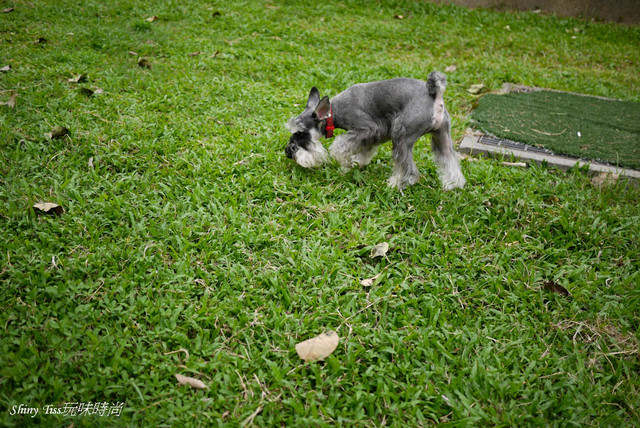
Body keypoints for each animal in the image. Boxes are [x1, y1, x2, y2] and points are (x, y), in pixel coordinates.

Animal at [284, 72, 464, 191]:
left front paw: (344, 162)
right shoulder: (373, 135)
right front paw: (357, 162)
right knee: (448, 158)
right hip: (442, 135)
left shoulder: (369, 129)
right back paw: (453, 184)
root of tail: (434, 95)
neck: (333, 112)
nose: (288, 152)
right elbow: (365, 151)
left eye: (301, 133)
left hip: (402, 135)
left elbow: (340, 144)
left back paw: (396, 183)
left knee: (407, 166)